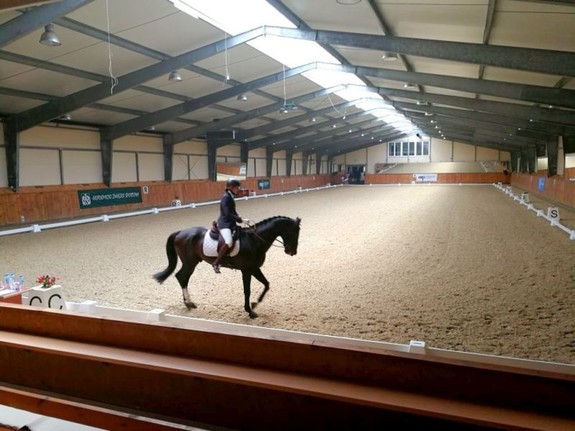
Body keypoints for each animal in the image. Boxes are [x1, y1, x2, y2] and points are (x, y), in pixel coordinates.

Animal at [153, 215, 301, 319]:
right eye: (292, 232)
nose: (292, 252)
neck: (255, 240)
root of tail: (180, 232)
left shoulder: (254, 268)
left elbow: (266, 284)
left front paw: (255, 303)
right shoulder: (247, 270)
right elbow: (247, 290)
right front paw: (250, 311)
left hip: (191, 262)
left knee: (182, 277)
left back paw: (189, 303)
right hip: (190, 262)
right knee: (182, 277)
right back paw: (189, 303)